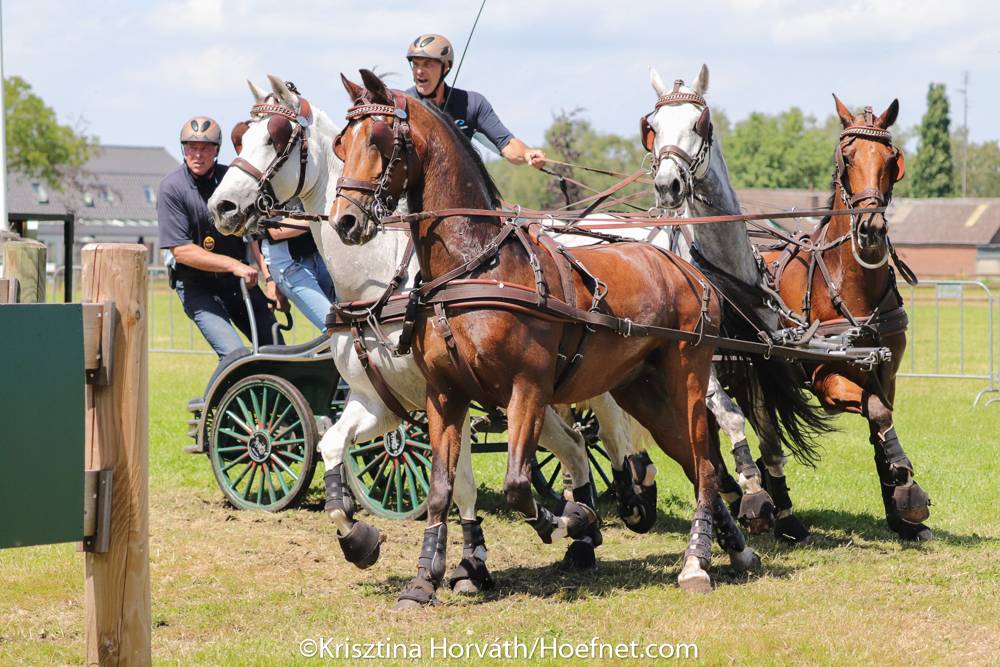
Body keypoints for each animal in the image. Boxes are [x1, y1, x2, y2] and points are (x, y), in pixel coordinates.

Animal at [207, 75, 616, 593]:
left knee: (588, 438)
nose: (221, 206)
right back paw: (583, 530)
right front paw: (360, 539)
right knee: (576, 444)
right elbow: (332, 445)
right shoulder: (380, 401)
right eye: (240, 137)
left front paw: (468, 563)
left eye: (276, 138)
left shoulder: (445, 395)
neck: (381, 282)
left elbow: (458, 481)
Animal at [327, 69, 803, 607]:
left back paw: (697, 560)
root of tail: (682, 262)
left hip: (687, 382)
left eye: (379, 139)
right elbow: (441, 489)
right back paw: (735, 550)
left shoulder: (527, 390)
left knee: (704, 461)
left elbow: (517, 485)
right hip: (641, 393)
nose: (345, 219)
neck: (477, 266)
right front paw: (422, 580)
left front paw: (573, 520)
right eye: (341, 143)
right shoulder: (444, 395)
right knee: (694, 464)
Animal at [759, 96, 931, 541]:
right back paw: (773, 511)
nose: (870, 229)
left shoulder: (887, 374)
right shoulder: (827, 379)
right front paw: (908, 489)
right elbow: (877, 413)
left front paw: (900, 513)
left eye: (891, 159)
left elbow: (880, 427)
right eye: (848, 156)